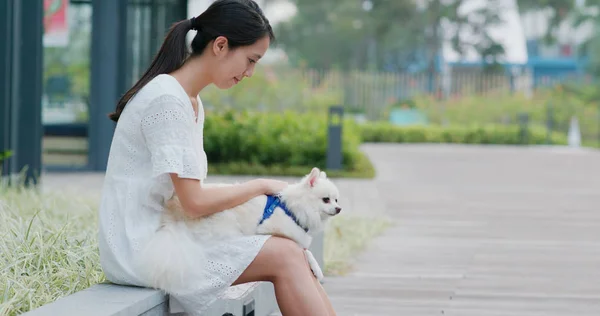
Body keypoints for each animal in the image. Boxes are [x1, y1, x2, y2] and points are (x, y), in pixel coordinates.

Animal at [137, 168, 342, 294]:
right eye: (326, 200)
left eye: (336, 200)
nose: (339, 209)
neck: (293, 208)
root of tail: (169, 217)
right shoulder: (272, 229)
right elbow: (301, 248)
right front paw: (315, 267)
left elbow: (305, 248)